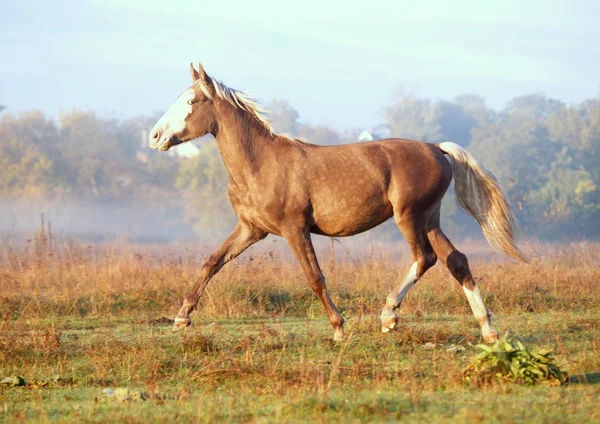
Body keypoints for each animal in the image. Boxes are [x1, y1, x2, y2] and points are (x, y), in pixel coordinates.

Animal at [151, 62, 528, 342]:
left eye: (190, 102)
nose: (155, 137)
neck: (261, 164)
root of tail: (437, 148)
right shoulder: (251, 229)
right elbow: (211, 263)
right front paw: (181, 318)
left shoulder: (294, 229)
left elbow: (315, 277)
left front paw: (339, 328)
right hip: (430, 218)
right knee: (456, 260)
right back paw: (487, 329)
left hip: (409, 216)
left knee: (426, 258)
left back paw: (389, 316)